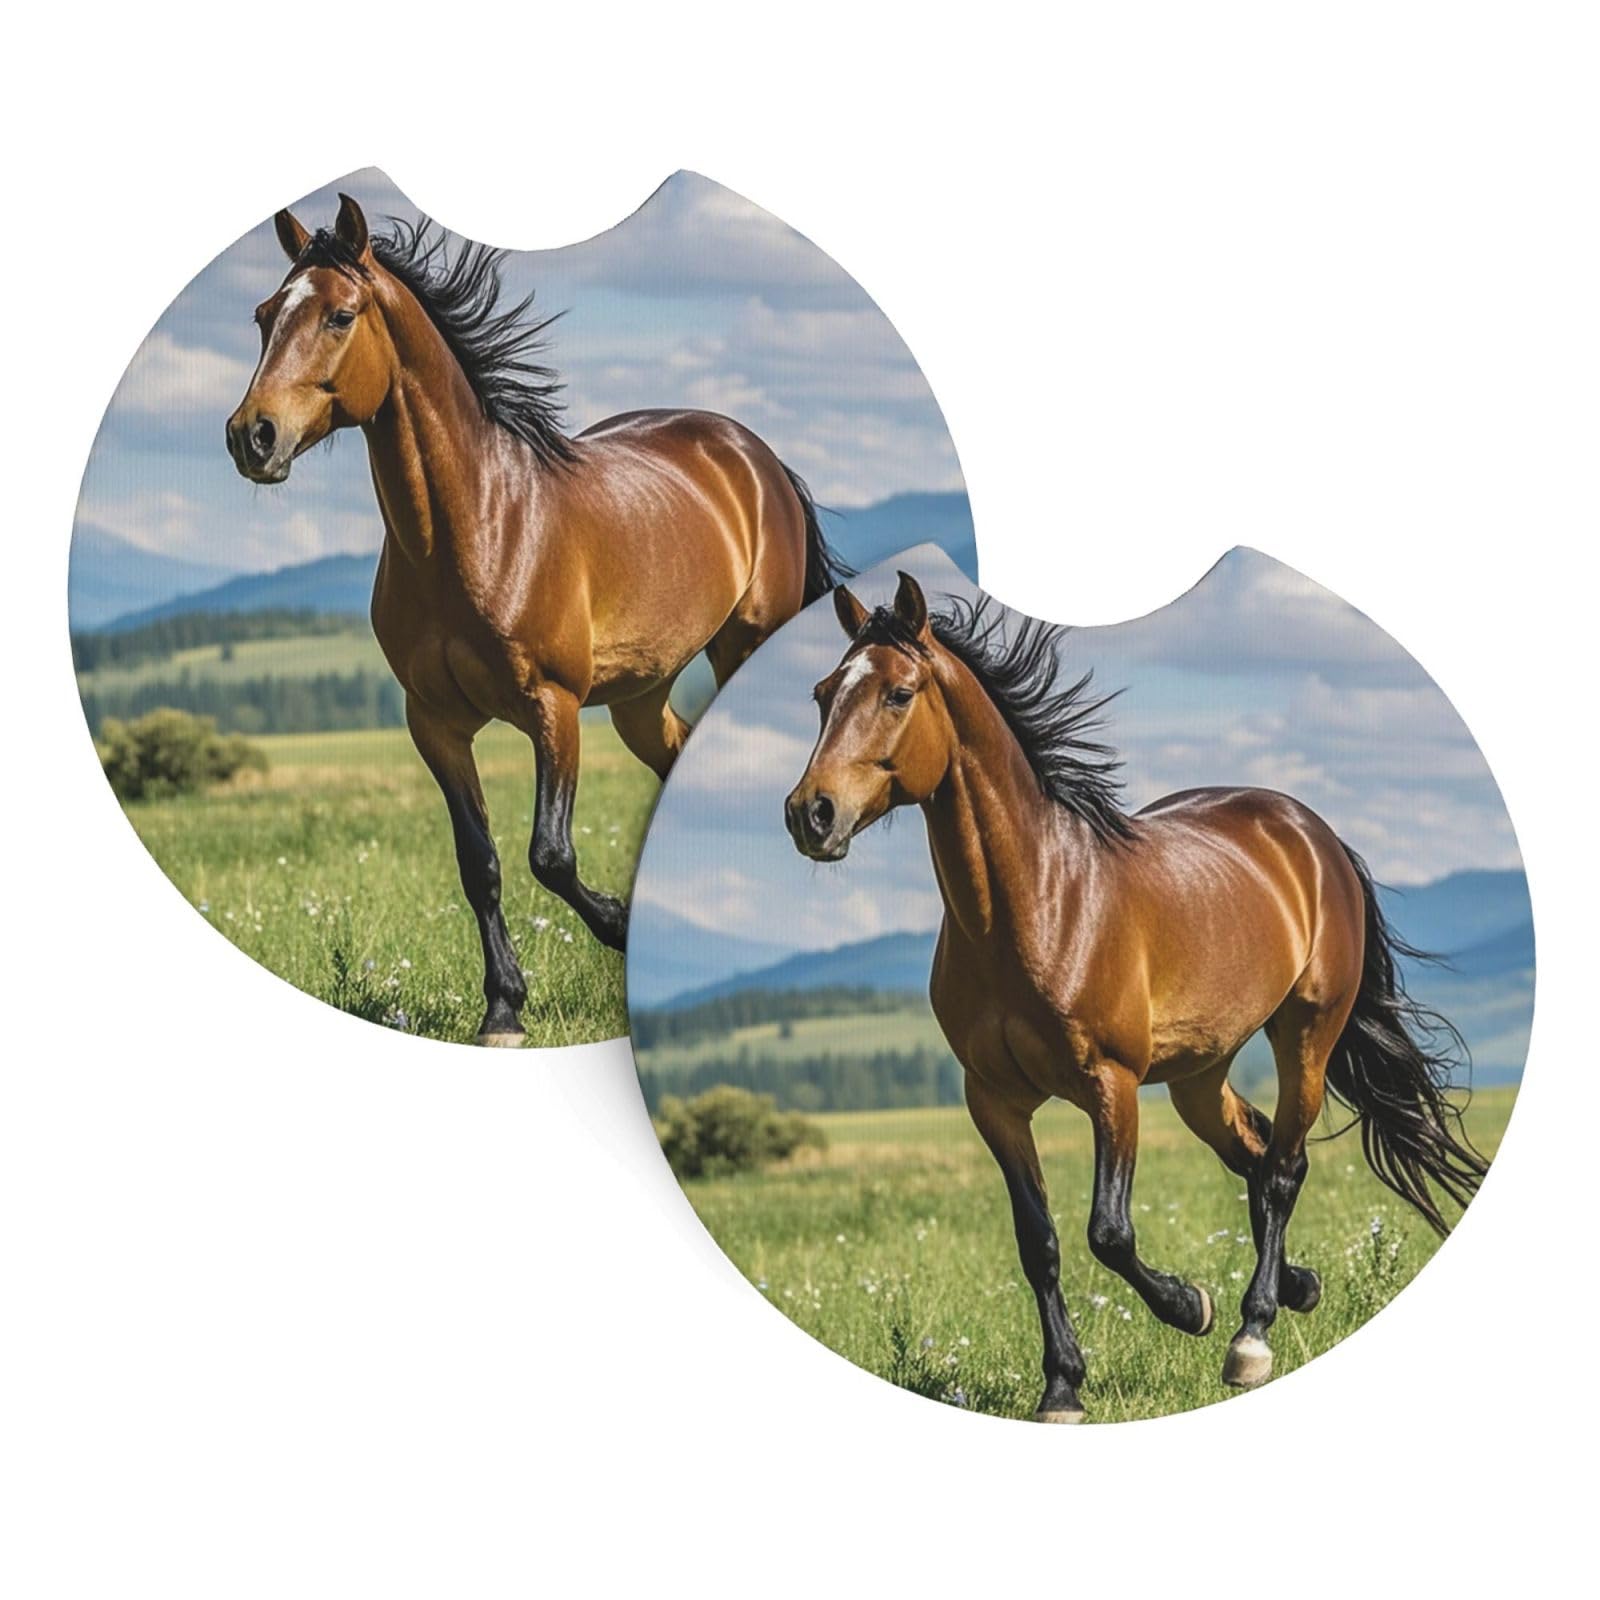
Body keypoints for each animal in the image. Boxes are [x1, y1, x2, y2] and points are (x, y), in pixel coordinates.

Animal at [226, 194, 848, 1045]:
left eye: (340, 315)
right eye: (264, 315)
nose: (250, 437)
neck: (474, 530)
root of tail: (753, 456)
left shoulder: (553, 708)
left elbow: (548, 855)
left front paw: (613, 930)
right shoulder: (435, 724)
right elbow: (479, 863)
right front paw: (503, 1008)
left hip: (736, 649)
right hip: (638, 699)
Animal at [784, 572, 1488, 1420]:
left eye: (898, 693)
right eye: (823, 694)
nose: (810, 814)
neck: (1037, 905)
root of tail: (1310, 833)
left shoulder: (1111, 1085)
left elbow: (1108, 1233)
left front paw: (1191, 1307)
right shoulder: (993, 1100)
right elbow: (1040, 1243)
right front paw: (1061, 1386)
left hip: (1306, 1037)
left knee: (1283, 1169)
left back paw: (1251, 1334)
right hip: (1199, 1074)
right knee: (1255, 1151)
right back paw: (1299, 1287)